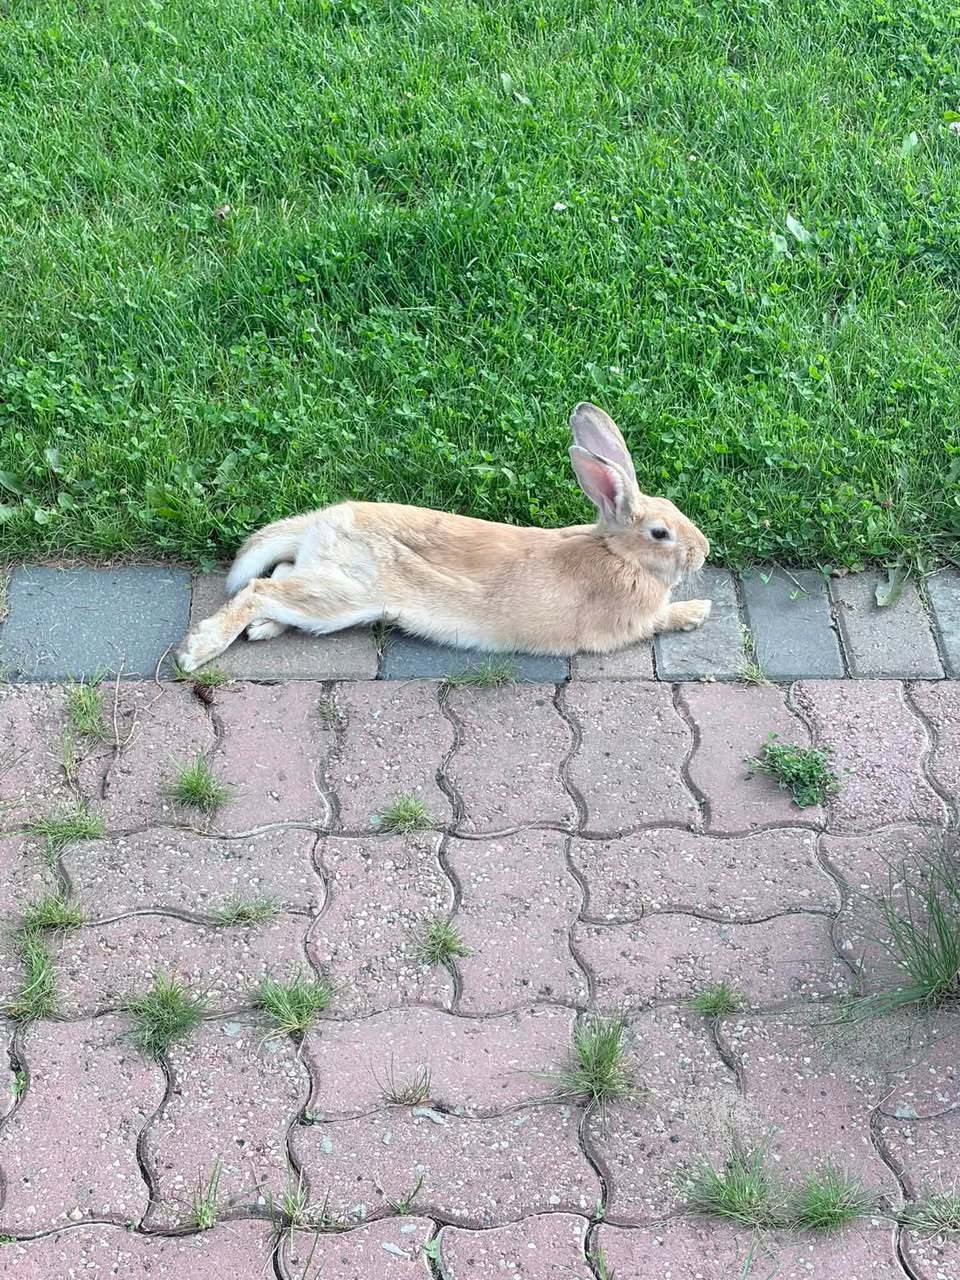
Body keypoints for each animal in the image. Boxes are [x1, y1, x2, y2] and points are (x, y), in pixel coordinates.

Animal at [176, 402, 711, 671]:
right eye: (660, 533)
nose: (703, 553)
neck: (618, 553)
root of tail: (323, 521)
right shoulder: (628, 623)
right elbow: (662, 619)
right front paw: (697, 612)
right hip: (343, 594)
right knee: (258, 589)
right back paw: (195, 652)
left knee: (277, 580)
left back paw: (263, 630)